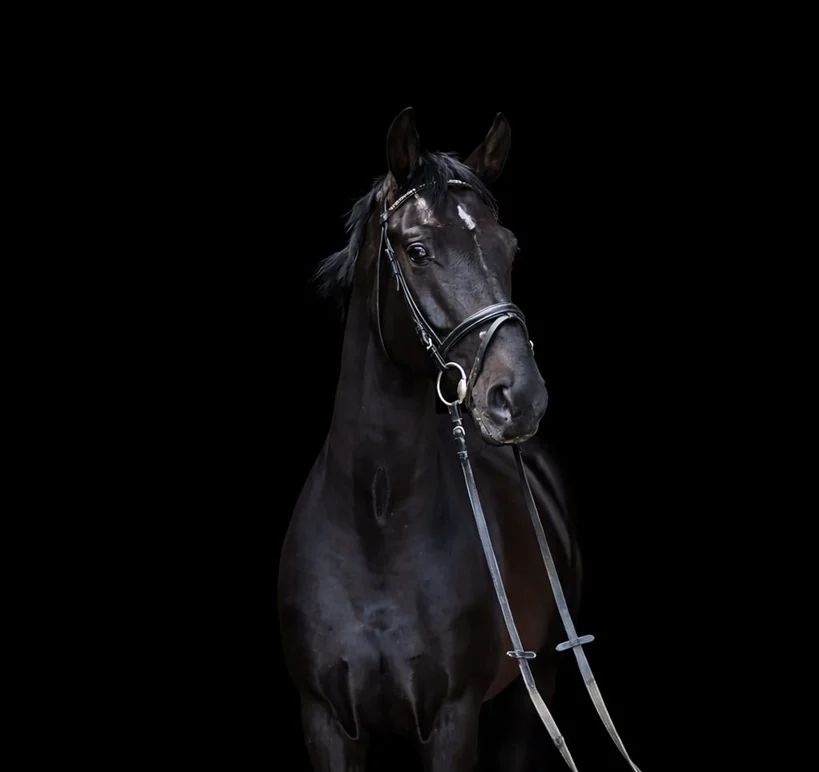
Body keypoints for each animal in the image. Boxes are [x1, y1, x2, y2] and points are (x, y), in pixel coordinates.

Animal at [278, 108, 580, 771]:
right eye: (417, 251)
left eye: (509, 247)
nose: (520, 397)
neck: (377, 520)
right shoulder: (325, 722)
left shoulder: (452, 721)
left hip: (532, 696)